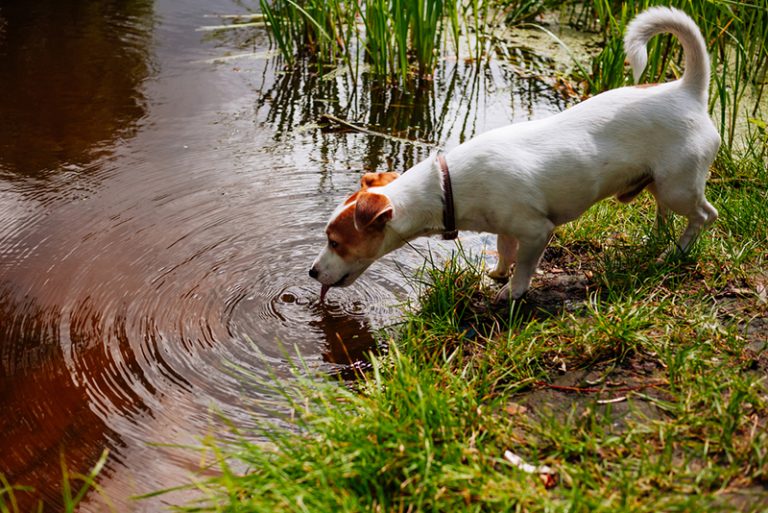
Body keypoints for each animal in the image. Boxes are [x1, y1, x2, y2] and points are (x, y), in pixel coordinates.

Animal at [308, 8, 716, 302]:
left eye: (335, 243)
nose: (311, 272)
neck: (445, 186)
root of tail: (687, 90)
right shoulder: (506, 227)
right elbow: (505, 251)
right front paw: (497, 274)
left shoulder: (537, 231)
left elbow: (524, 266)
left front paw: (512, 290)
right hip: (658, 183)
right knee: (666, 213)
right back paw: (658, 241)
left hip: (678, 186)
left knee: (704, 215)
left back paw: (675, 253)